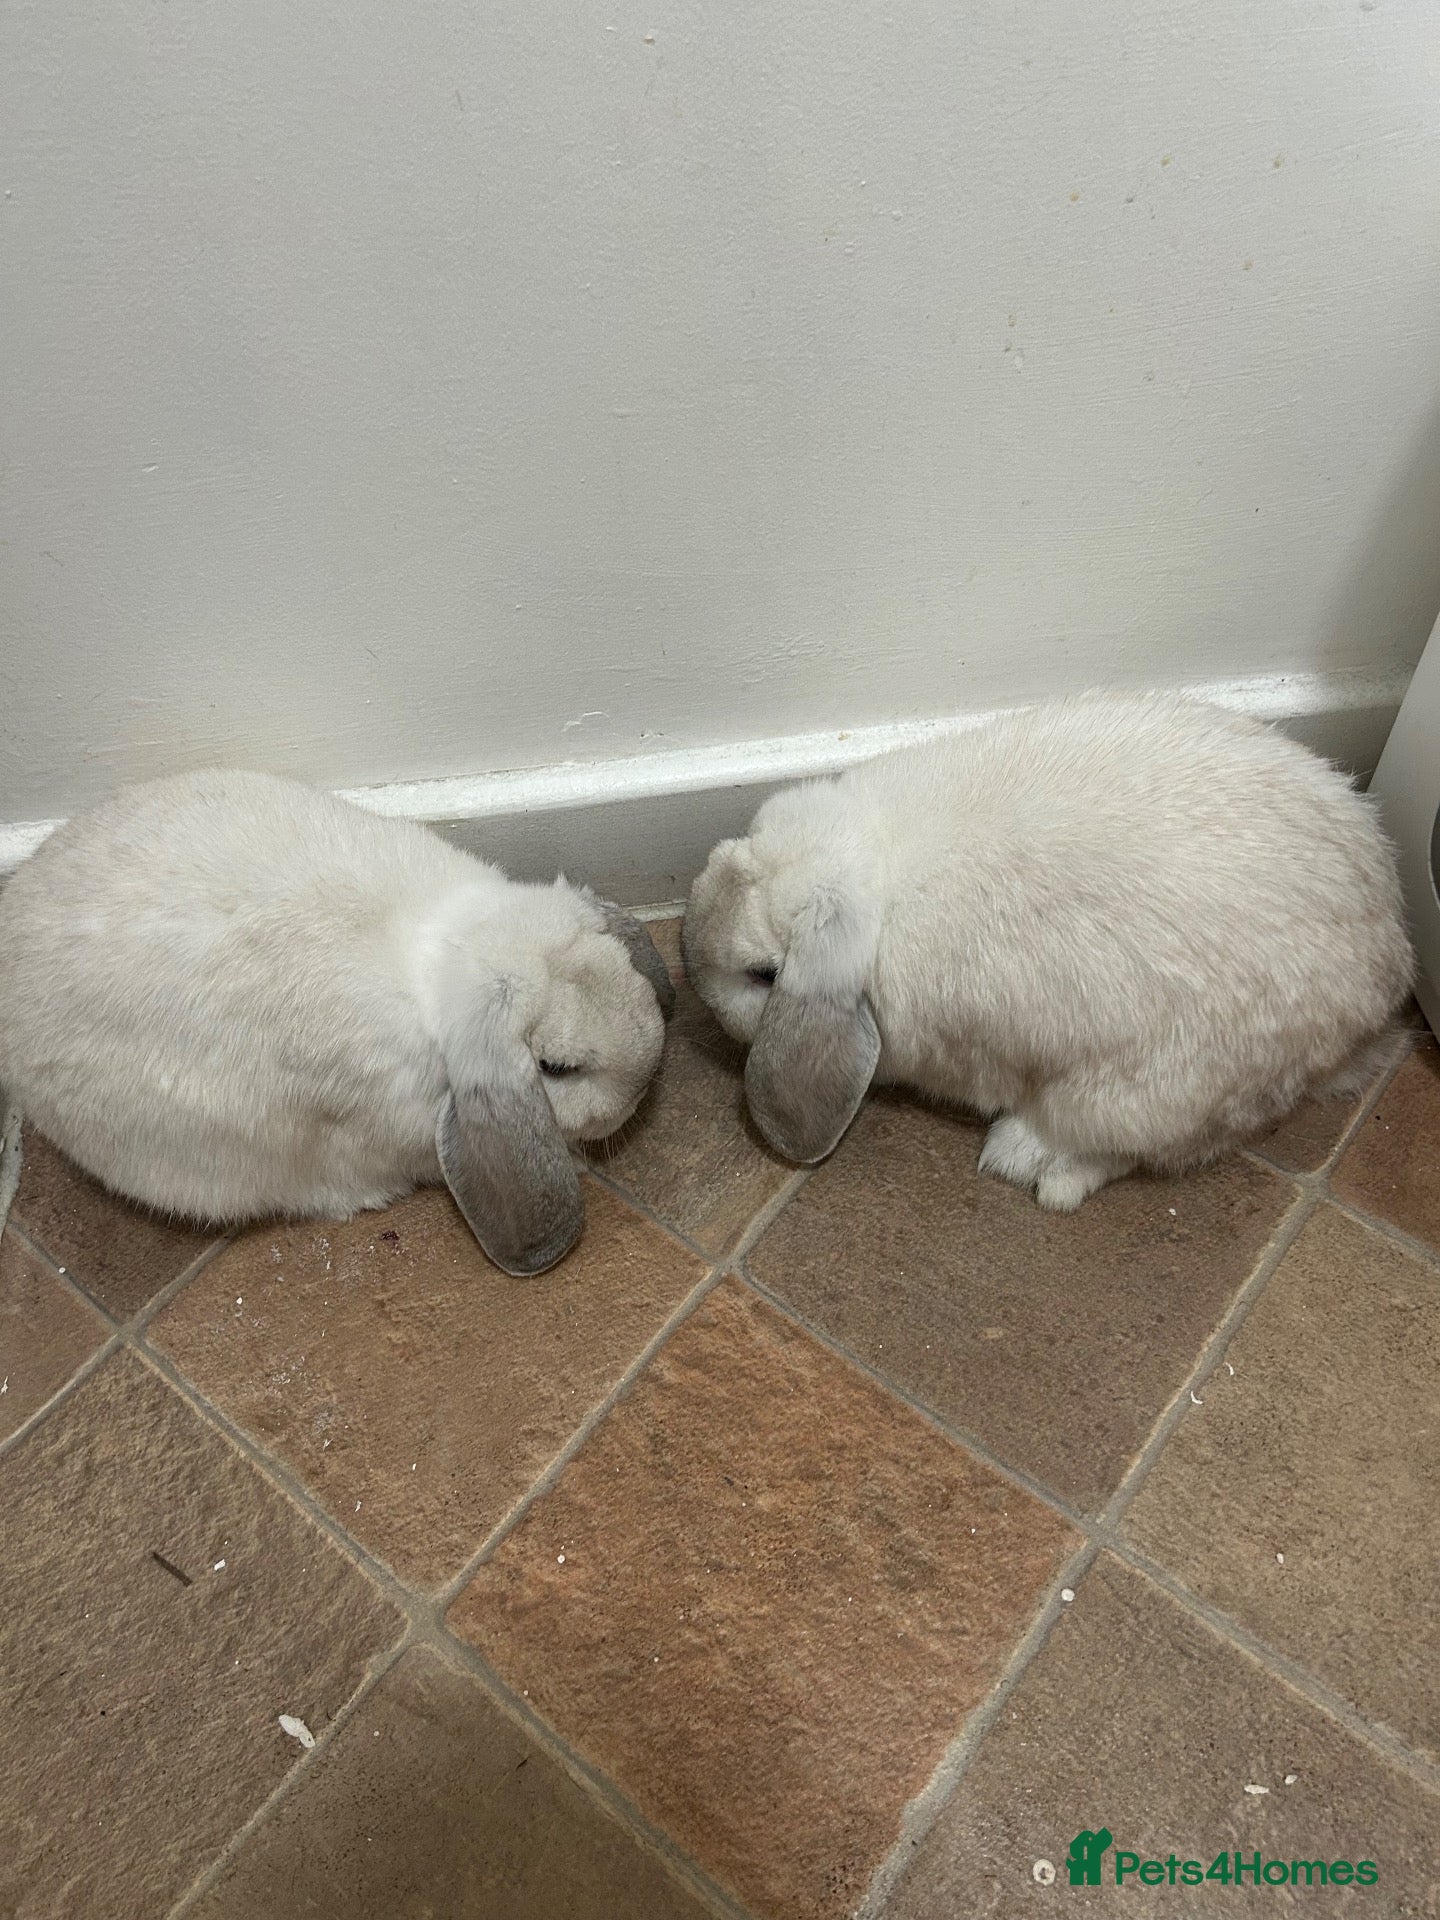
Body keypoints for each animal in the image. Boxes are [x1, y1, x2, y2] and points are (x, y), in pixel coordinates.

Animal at [683, 692, 1413, 1211]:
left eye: (764, 974)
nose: (688, 958)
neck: (881, 869)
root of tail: (1386, 972)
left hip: (1142, 1094)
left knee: (1142, 1148)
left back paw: (1028, 1161)